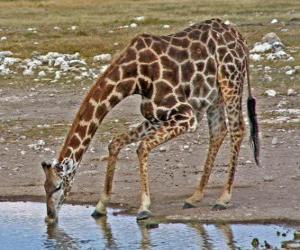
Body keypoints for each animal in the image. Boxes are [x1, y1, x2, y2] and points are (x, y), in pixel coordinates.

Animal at [41, 18, 258, 224]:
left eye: (58, 186)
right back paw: (195, 196)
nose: (50, 216)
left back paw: (223, 198)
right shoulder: (156, 117)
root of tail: (240, 38)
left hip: (230, 80)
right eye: (45, 187)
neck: (134, 77)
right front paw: (101, 206)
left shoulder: (186, 116)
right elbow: (115, 142)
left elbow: (142, 147)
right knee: (219, 130)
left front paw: (144, 208)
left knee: (237, 128)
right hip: (213, 95)